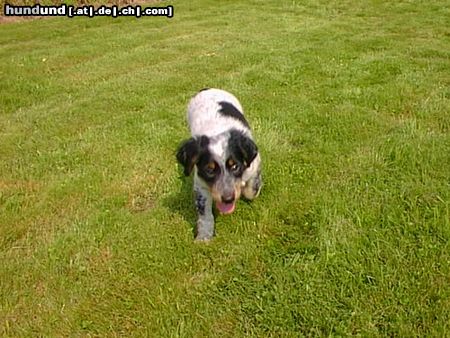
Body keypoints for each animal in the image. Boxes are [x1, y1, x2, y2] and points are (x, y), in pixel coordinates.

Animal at [175, 88, 260, 240]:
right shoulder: (201, 184)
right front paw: (204, 237)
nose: (228, 199)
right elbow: (205, 214)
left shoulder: (254, 165)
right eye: (209, 170)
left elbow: (251, 190)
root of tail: (208, 88)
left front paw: (246, 189)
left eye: (235, 166)